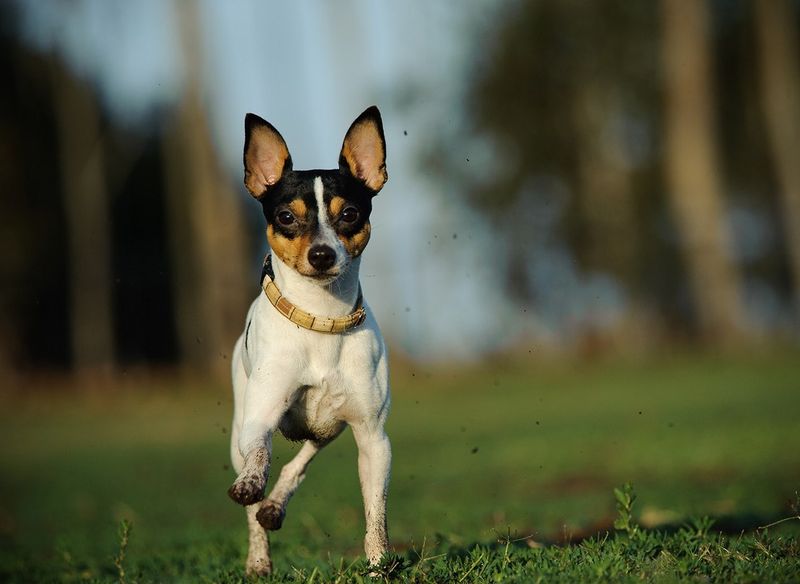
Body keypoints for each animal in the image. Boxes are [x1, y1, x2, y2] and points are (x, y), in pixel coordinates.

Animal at [227, 105, 392, 576]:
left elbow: (375, 513)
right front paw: (252, 486)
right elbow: (260, 460)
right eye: (285, 216)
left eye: (350, 213)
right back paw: (258, 558)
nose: (322, 255)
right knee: (254, 501)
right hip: (240, 423)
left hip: (329, 427)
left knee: (301, 462)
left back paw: (276, 506)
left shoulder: (373, 439)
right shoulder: (260, 419)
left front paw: (378, 567)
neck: (322, 322)